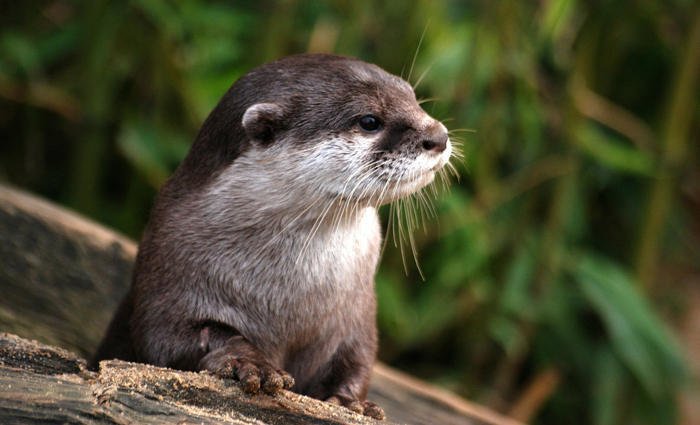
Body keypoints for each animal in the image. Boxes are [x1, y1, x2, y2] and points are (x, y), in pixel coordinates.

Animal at [90, 52, 452, 418]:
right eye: (369, 120)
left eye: (412, 97)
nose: (438, 136)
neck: (290, 299)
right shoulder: (167, 273)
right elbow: (170, 340)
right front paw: (249, 363)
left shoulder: (357, 316)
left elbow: (357, 360)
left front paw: (351, 402)